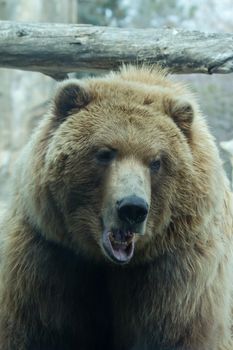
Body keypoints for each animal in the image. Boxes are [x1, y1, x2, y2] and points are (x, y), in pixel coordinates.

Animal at [0, 66, 233, 350]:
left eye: (156, 161)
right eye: (105, 153)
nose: (132, 208)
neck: (108, 261)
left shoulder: (178, 277)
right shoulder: (47, 257)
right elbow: (35, 329)